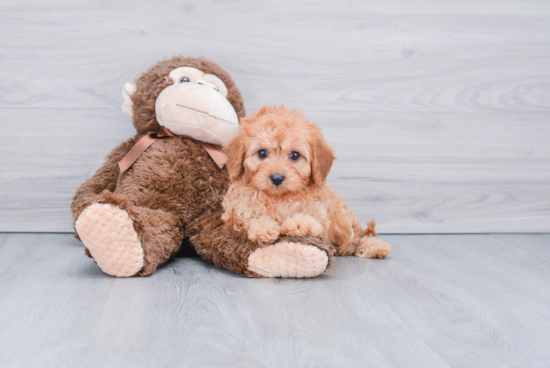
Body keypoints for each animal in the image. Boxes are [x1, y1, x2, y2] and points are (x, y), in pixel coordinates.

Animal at [223, 105, 392, 258]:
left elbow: (310, 220)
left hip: (342, 218)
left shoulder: (320, 215)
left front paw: (296, 224)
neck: (278, 198)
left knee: (354, 238)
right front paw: (264, 227)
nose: (277, 178)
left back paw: (374, 247)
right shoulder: (236, 212)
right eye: (262, 153)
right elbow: (249, 218)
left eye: (295, 155)